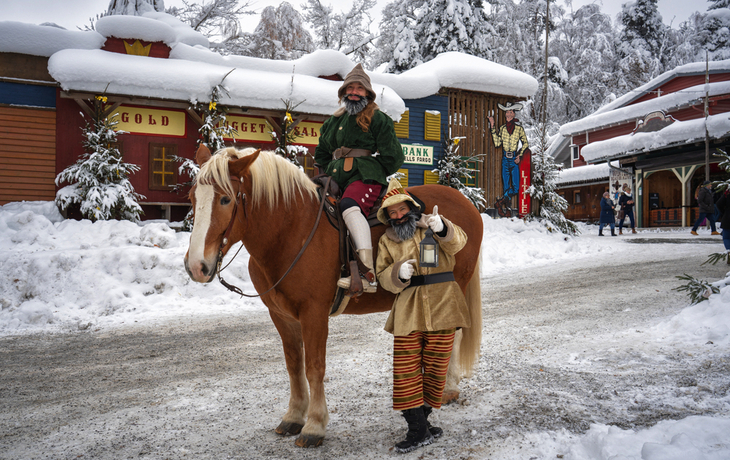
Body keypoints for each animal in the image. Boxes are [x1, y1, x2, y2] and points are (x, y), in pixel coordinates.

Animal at [183, 146, 484, 446]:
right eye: (192, 197)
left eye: (225, 199)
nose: (197, 266)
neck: (290, 230)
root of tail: (466, 202)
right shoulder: (281, 315)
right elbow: (294, 365)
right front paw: (294, 416)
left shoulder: (314, 313)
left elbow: (314, 367)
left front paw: (314, 425)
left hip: (453, 286)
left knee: (454, 334)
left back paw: (448, 388)